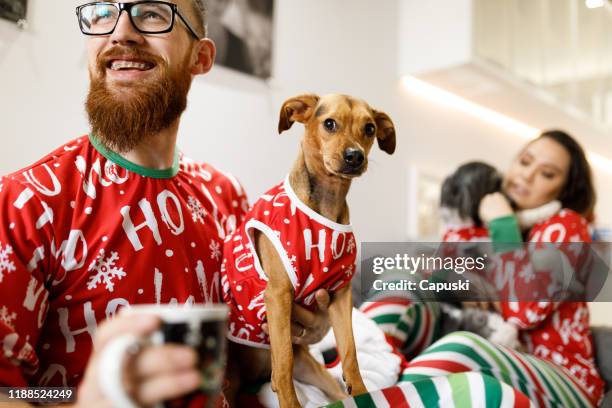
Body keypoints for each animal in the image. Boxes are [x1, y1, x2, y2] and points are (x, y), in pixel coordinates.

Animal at [222, 94, 394, 406]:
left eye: (370, 128)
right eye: (330, 123)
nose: (355, 156)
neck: (326, 202)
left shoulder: (340, 295)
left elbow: (349, 351)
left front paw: (362, 392)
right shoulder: (278, 294)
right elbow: (284, 362)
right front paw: (290, 402)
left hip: (313, 370)